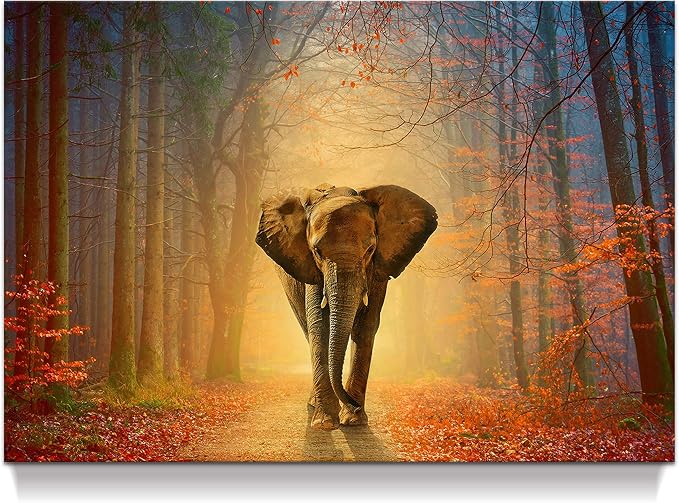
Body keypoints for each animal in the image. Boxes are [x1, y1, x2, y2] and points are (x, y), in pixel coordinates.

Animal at [255, 183, 437, 430]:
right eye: (317, 252)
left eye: (370, 249)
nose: (354, 404)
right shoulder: (311, 270)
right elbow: (319, 326)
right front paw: (324, 423)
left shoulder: (378, 268)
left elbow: (366, 326)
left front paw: (353, 420)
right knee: (306, 328)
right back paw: (314, 404)